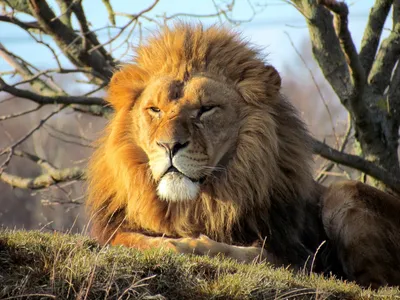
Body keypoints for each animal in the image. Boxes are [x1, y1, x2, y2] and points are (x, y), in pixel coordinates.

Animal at [86, 23, 400, 288]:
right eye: (155, 110)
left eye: (206, 109)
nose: (169, 145)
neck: (195, 205)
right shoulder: (114, 227)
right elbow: (127, 238)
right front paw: (166, 244)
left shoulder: (295, 255)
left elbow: (254, 254)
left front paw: (190, 245)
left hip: (343, 192)